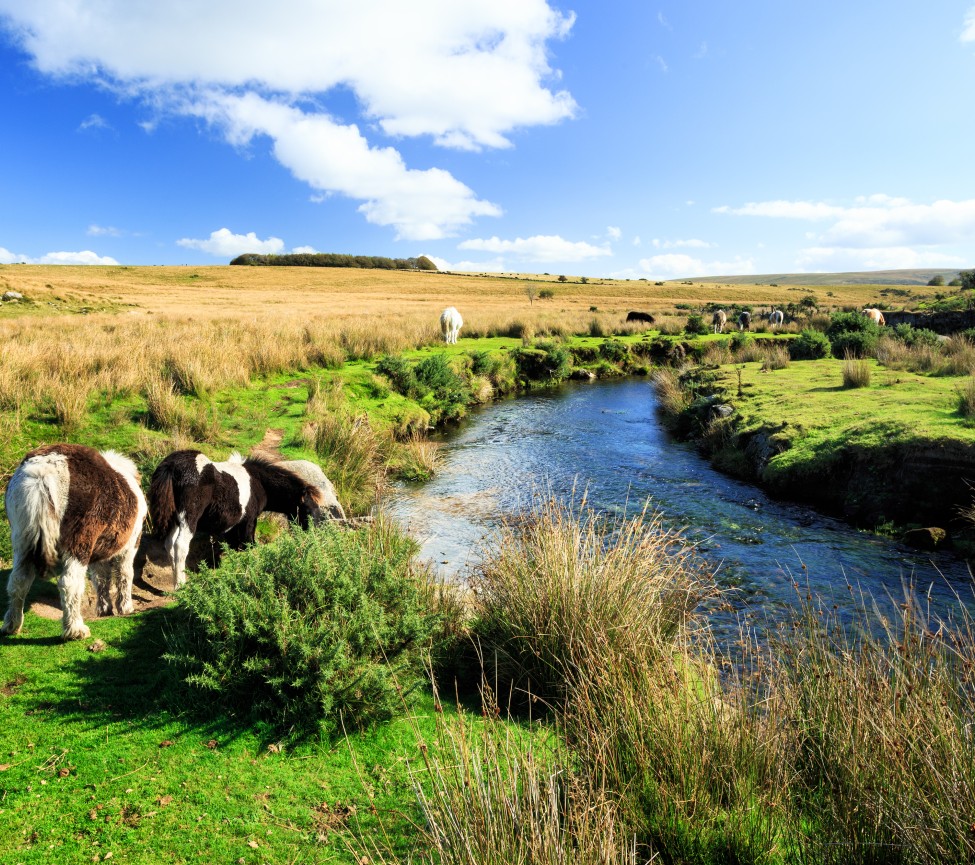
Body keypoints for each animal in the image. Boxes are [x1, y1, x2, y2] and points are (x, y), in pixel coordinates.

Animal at [0, 442, 147, 636]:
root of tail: (43, 471)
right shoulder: (129, 547)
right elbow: (124, 574)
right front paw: (125, 608)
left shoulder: (98, 552)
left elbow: (101, 578)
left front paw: (104, 608)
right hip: (79, 544)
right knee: (70, 583)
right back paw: (76, 630)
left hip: (22, 542)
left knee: (18, 580)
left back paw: (12, 625)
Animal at [147, 452, 326, 588]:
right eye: (307, 510)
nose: (314, 534)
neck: (258, 482)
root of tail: (171, 466)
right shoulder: (249, 520)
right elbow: (249, 545)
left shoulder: (234, 526)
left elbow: (234, 548)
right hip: (188, 518)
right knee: (180, 545)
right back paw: (181, 586)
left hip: (173, 519)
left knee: (169, 545)